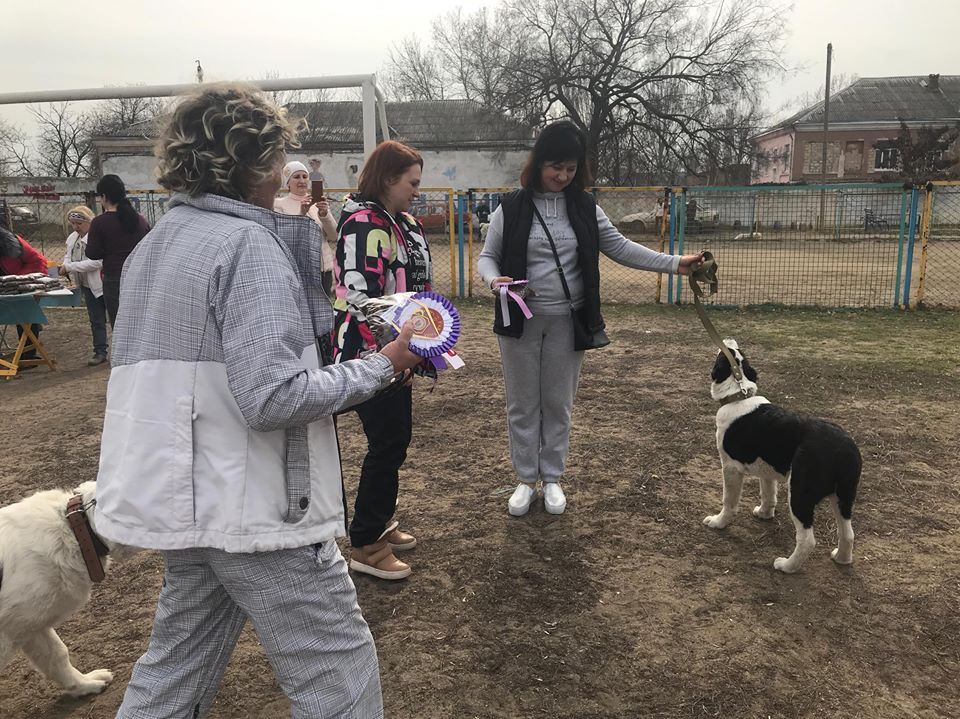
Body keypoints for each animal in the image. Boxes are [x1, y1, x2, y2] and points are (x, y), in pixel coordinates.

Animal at [702, 340, 861, 573]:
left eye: (726, 354)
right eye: (738, 353)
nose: (728, 340)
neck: (739, 397)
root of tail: (844, 450)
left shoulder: (730, 468)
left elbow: (729, 501)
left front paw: (718, 522)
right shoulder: (766, 469)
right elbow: (768, 493)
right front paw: (764, 514)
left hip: (800, 495)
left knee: (807, 539)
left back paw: (786, 566)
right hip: (843, 497)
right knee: (848, 533)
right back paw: (841, 559)